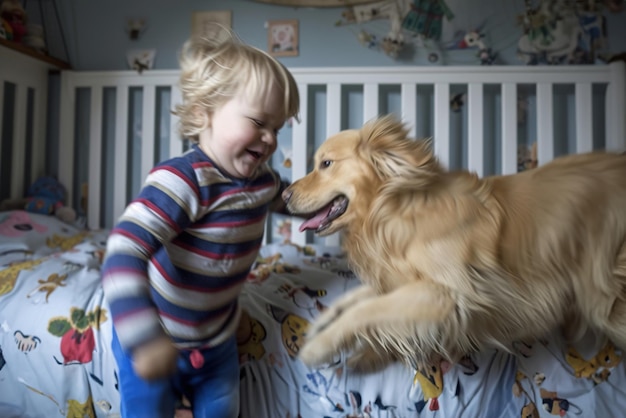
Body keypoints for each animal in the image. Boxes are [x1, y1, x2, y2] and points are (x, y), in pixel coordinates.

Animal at [282, 113, 624, 370]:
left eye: (326, 164)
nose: (283, 194)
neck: (392, 214)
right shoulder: (403, 281)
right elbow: (359, 299)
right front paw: (327, 326)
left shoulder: (448, 294)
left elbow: (367, 310)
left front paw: (320, 347)